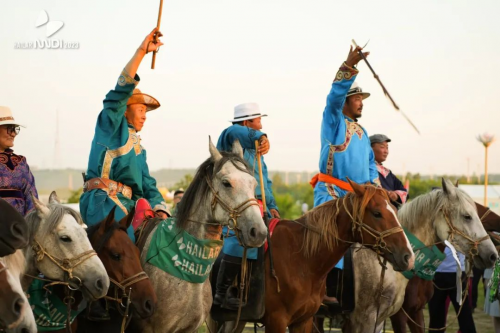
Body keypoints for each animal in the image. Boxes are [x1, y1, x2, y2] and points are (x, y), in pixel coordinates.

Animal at [209, 179, 416, 332]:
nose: (408, 256)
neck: (302, 261)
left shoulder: (304, 321)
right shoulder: (276, 320)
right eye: (377, 213)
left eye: (394, 210)